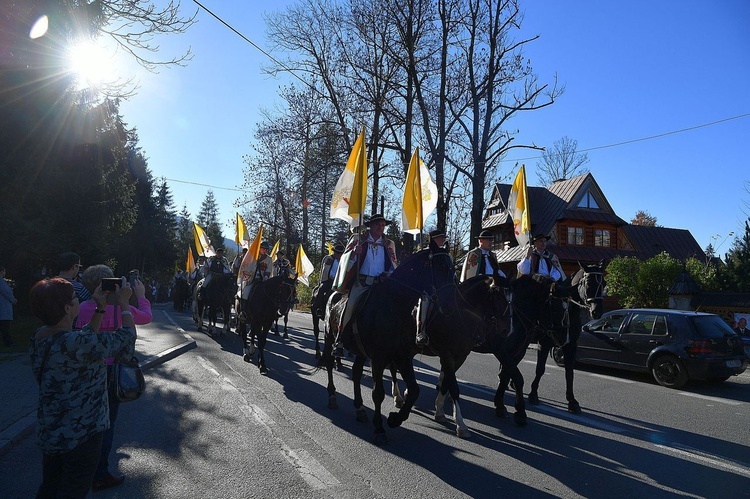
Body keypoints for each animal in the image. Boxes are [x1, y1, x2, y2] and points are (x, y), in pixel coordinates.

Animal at [318, 250, 456, 446]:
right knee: (330, 363)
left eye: (453, 269)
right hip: (330, 337)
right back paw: (332, 397)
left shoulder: (402, 358)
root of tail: (333, 293)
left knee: (356, 372)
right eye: (441, 268)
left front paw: (395, 419)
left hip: (360, 352)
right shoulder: (379, 358)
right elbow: (378, 393)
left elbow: (415, 390)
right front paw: (379, 428)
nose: (451, 306)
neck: (395, 306)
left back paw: (360, 408)